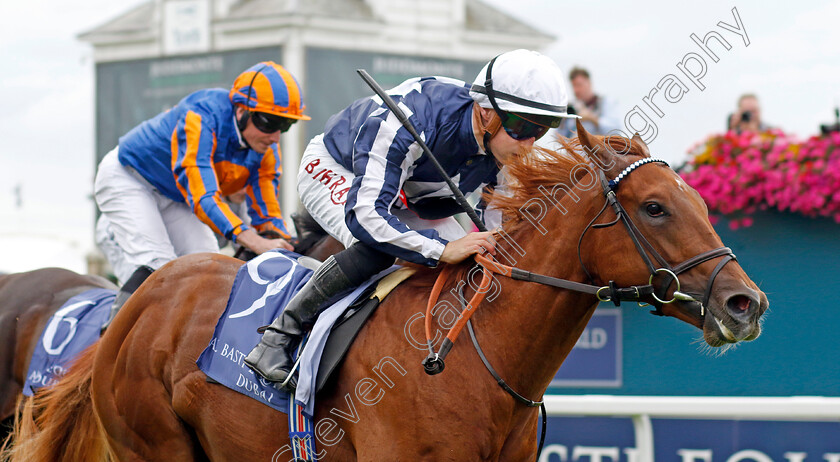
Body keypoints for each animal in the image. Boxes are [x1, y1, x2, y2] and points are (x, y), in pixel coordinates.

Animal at [4, 128, 768, 462]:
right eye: (654, 208)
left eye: (700, 201)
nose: (746, 304)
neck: (473, 357)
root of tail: (139, 303)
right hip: (153, 445)